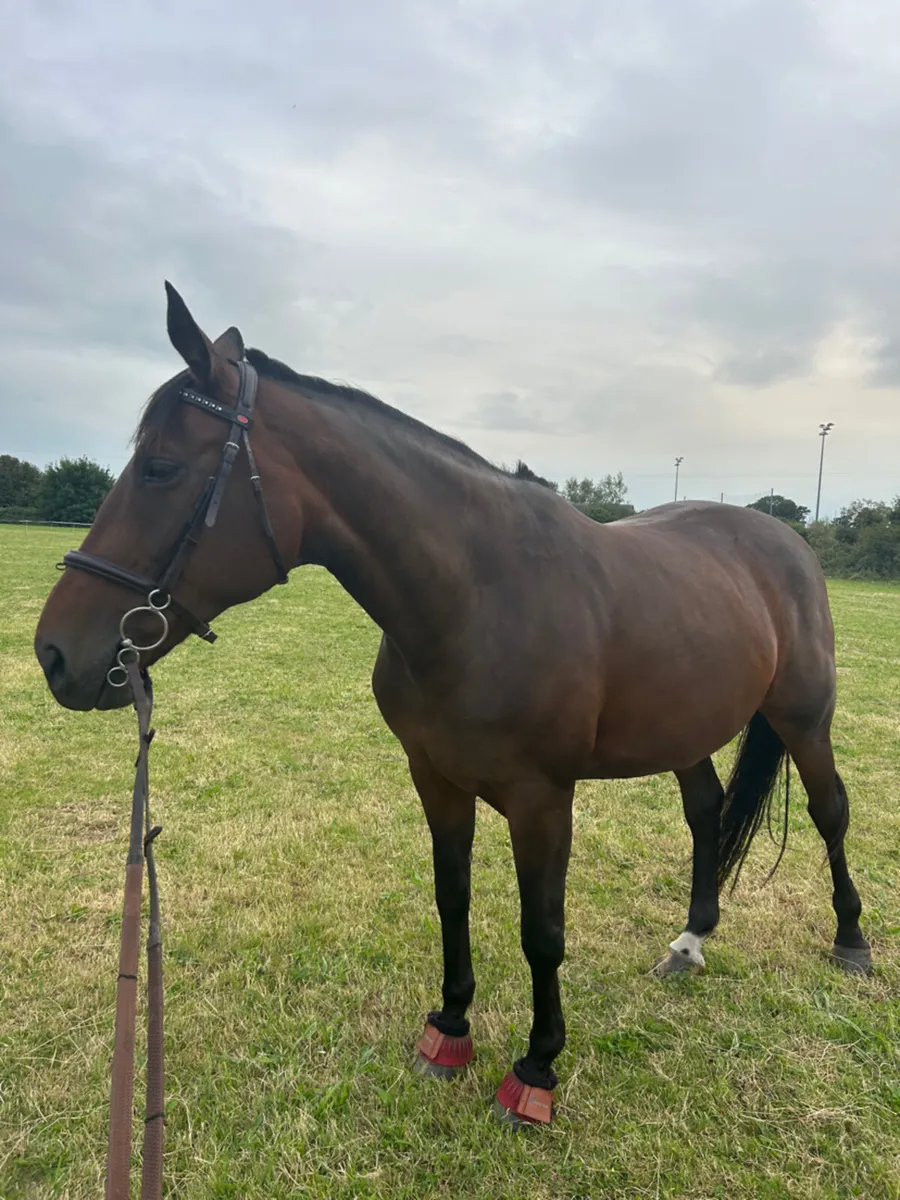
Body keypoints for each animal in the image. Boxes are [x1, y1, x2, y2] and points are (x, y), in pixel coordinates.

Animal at [34, 283, 870, 1127]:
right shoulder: (435, 777)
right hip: (684, 730)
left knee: (830, 812)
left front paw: (536, 1069)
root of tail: (784, 540)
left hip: (805, 718)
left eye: (161, 468)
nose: (54, 655)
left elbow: (542, 931)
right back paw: (691, 941)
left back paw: (851, 942)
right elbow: (453, 898)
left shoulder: (542, 799)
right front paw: (450, 1030)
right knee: (705, 812)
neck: (476, 595)